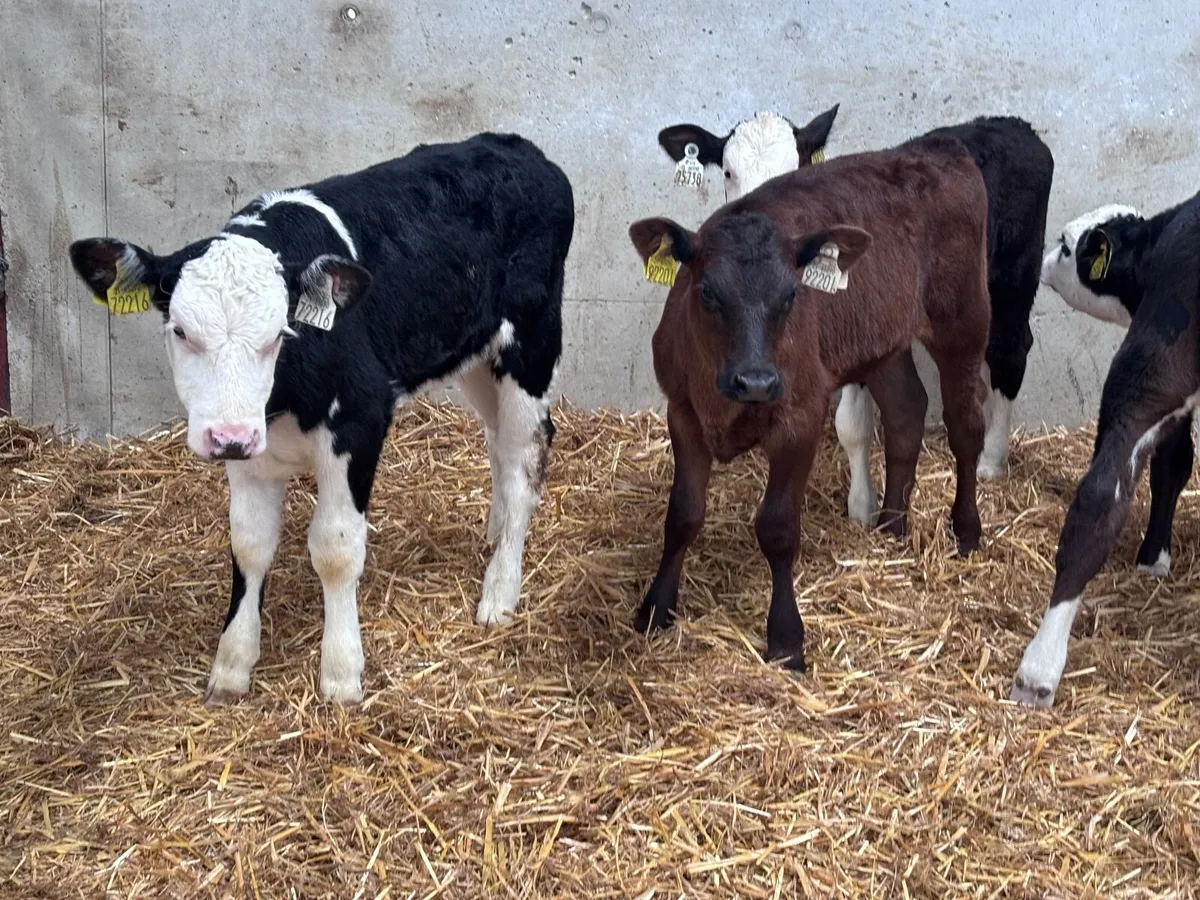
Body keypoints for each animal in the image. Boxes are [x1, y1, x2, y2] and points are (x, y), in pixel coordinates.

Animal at [69, 133, 575, 706]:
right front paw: (232, 665)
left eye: (278, 332)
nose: (227, 436)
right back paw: (494, 532)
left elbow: (335, 547)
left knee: (526, 458)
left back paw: (500, 589)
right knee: (498, 442)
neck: (284, 397)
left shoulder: (359, 420)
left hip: (531, 343)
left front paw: (340, 673)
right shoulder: (251, 444)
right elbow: (249, 542)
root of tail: (515, 145)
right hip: (471, 352)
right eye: (179, 330)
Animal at [629, 137, 991, 671]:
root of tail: (939, 147)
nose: (756, 380)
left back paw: (965, 529)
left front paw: (785, 638)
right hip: (881, 338)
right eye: (707, 292)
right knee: (906, 412)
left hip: (963, 320)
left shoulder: (801, 416)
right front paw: (655, 608)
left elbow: (778, 528)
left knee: (966, 424)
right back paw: (892, 525)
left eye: (791, 294)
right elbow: (682, 515)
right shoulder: (684, 411)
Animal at [658, 108, 1054, 526]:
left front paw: (862, 508)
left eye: (795, 168)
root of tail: (1012, 123)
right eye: (729, 173)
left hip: (1010, 283)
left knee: (1011, 350)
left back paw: (992, 458)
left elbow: (850, 423)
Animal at [1011, 191, 1200, 707]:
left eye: (1064, 245)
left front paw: (1152, 559)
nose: (1040, 263)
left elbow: (1164, 469)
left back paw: (1038, 669)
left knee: (1097, 503)